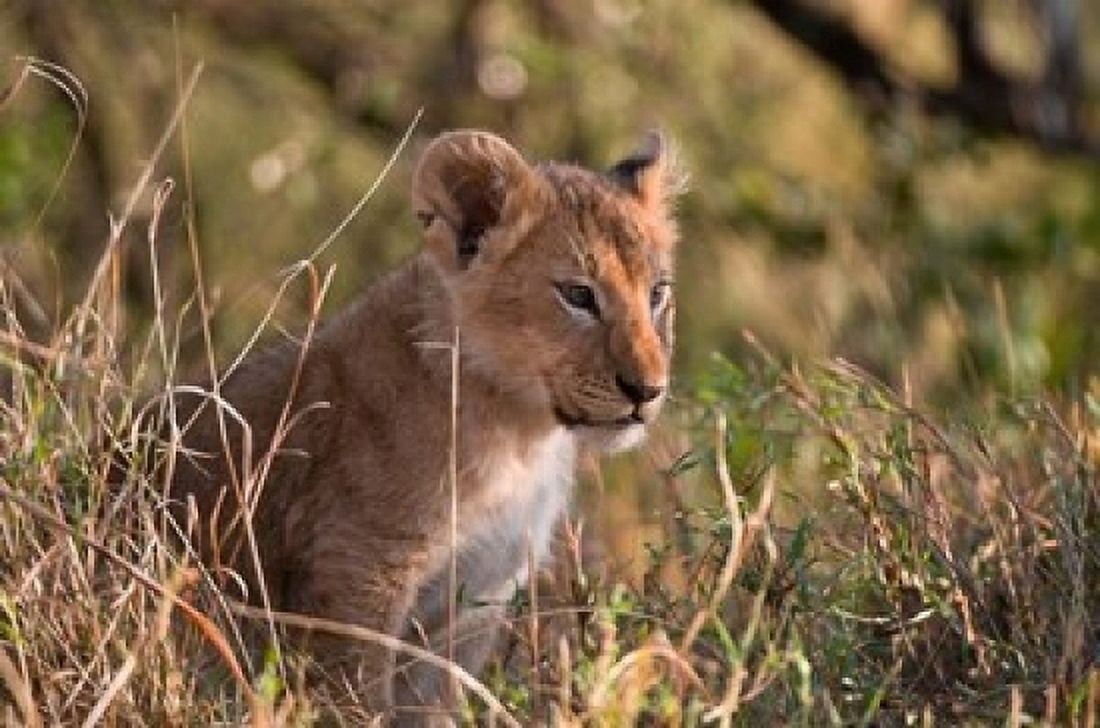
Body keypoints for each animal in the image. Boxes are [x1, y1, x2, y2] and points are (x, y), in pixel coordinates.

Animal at [166, 129, 681, 723]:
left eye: (658, 294)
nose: (647, 391)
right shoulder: (356, 569)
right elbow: (357, 699)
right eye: (578, 295)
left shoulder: (475, 599)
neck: (521, 435)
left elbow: (436, 707)